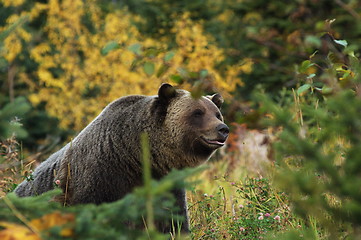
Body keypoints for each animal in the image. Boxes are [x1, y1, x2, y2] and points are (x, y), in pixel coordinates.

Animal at [14, 83, 228, 232]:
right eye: (197, 112)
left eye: (217, 113)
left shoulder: (165, 184)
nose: (223, 129)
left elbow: (172, 222)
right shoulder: (100, 178)